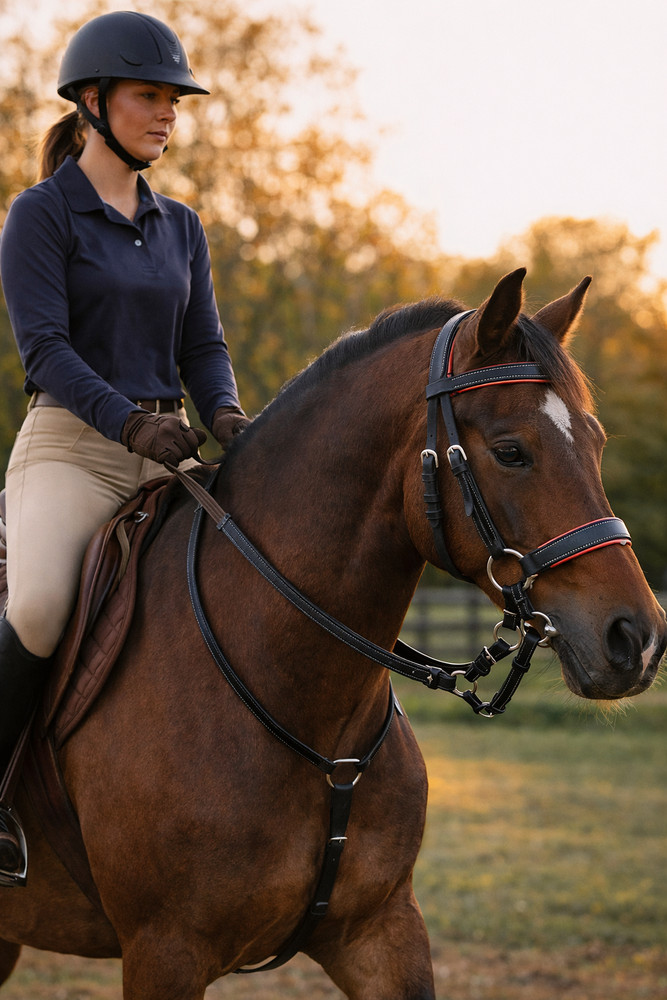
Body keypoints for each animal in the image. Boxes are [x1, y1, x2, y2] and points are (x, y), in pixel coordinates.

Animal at [0, 268, 664, 999]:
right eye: (510, 451)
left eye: (596, 443)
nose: (636, 638)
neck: (309, 709)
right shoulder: (163, 951)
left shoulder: (380, 930)